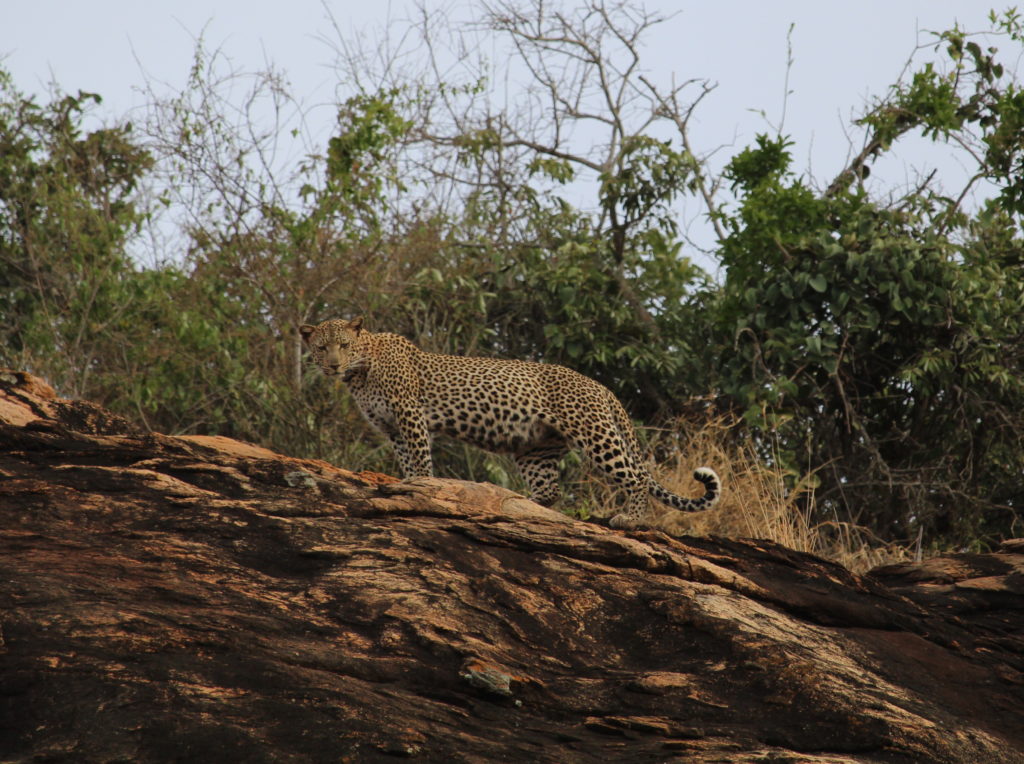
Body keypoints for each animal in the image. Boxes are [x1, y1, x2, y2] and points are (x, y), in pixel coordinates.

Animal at [299, 317, 724, 528]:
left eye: (344, 346)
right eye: (322, 347)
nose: (333, 365)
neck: (361, 370)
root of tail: (600, 386)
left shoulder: (410, 414)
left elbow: (420, 458)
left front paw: (424, 486)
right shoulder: (391, 429)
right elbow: (407, 462)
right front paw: (410, 484)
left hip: (594, 434)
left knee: (634, 477)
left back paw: (631, 519)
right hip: (537, 448)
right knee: (550, 490)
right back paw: (518, 505)